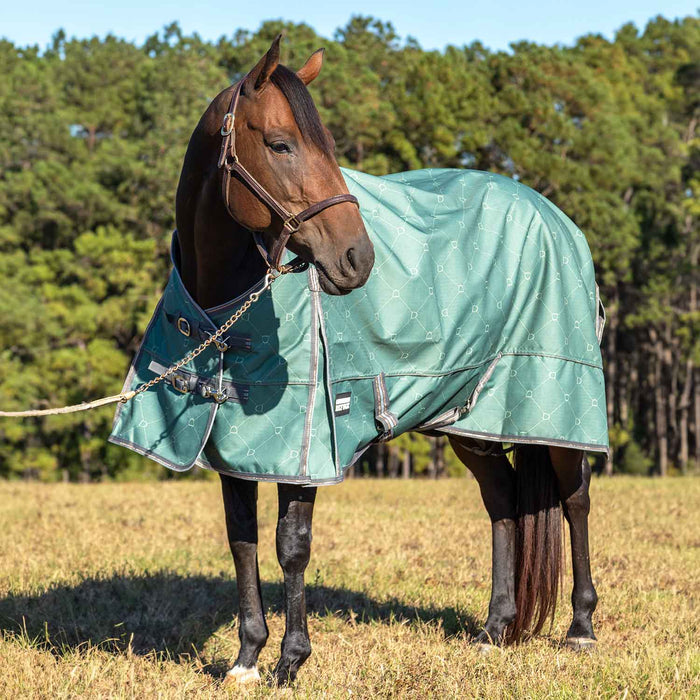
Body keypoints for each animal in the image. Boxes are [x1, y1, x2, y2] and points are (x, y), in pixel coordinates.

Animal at [169, 36, 599, 685]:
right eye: (281, 144)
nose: (357, 258)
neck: (228, 307)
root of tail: (557, 218)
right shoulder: (234, 447)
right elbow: (242, 539)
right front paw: (246, 659)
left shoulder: (307, 447)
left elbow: (292, 543)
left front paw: (291, 661)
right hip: (471, 418)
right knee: (502, 502)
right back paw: (494, 630)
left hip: (556, 405)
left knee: (575, 499)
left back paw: (580, 628)